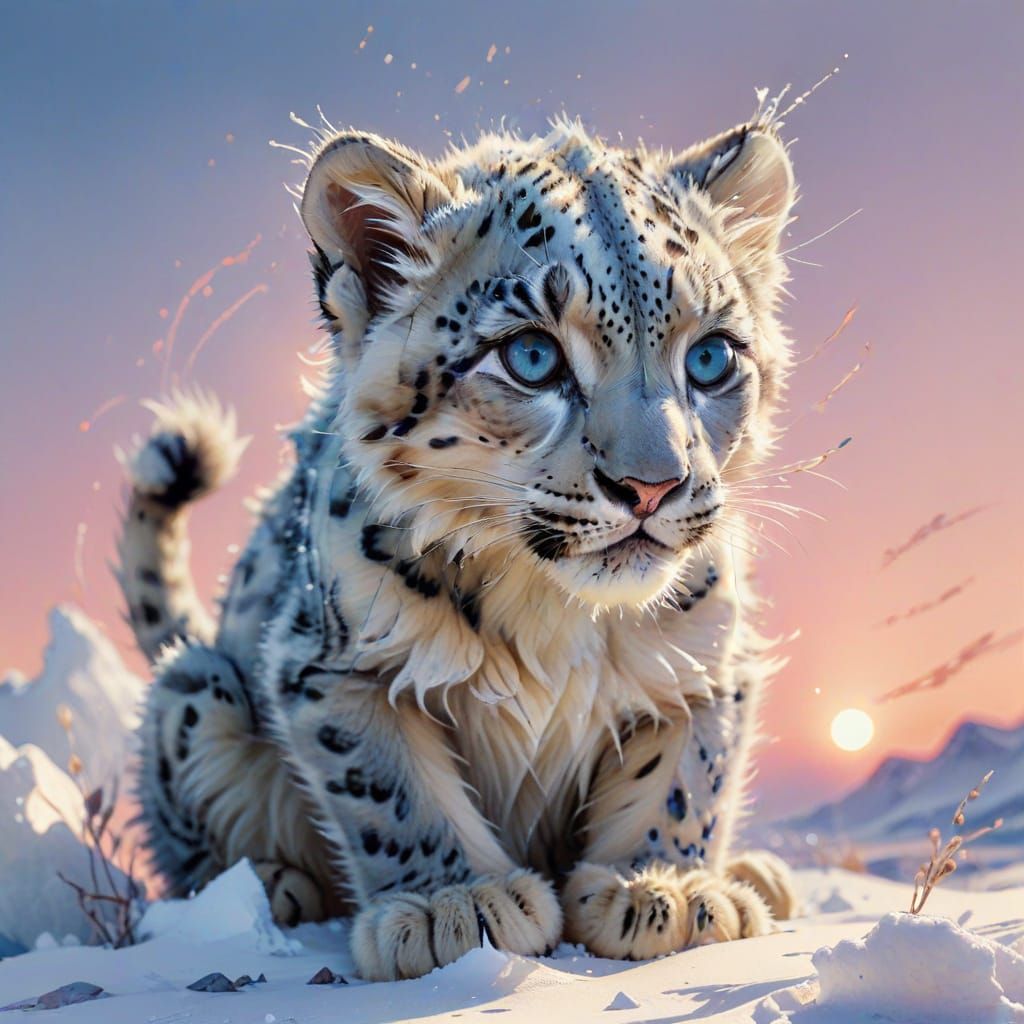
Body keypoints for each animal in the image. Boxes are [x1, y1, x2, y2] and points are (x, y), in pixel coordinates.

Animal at [117, 109, 801, 981]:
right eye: (532, 355)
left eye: (711, 356)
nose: (652, 486)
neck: (555, 611)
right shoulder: (336, 666)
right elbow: (389, 786)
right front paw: (456, 904)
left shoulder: (707, 656)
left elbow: (687, 774)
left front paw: (664, 890)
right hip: (196, 693)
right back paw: (264, 890)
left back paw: (761, 875)